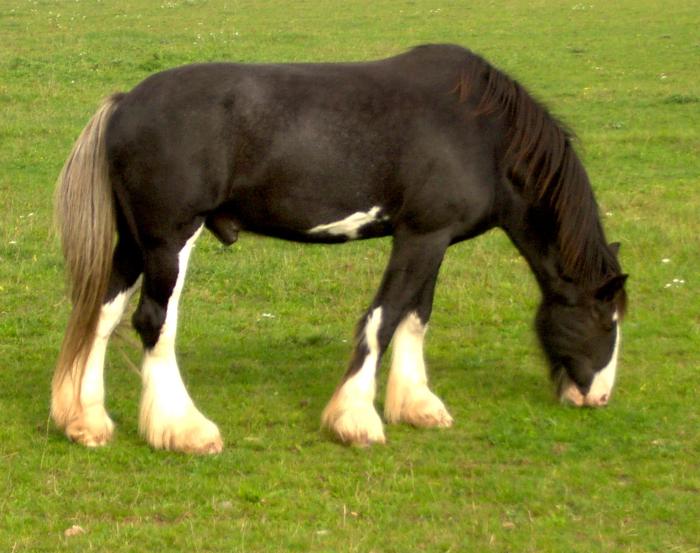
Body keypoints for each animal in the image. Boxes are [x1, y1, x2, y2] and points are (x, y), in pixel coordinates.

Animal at [52, 44, 628, 452]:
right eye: (606, 319)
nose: (598, 396)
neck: (481, 131)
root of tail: (124, 104)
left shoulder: (434, 239)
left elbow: (416, 316)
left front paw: (417, 405)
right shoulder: (420, 237)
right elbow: (384, 318)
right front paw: (356, 419)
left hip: (135, 244)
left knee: (102, 315)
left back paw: (86, 420)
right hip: (170, 240)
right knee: (154, 323)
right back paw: (184, 429)